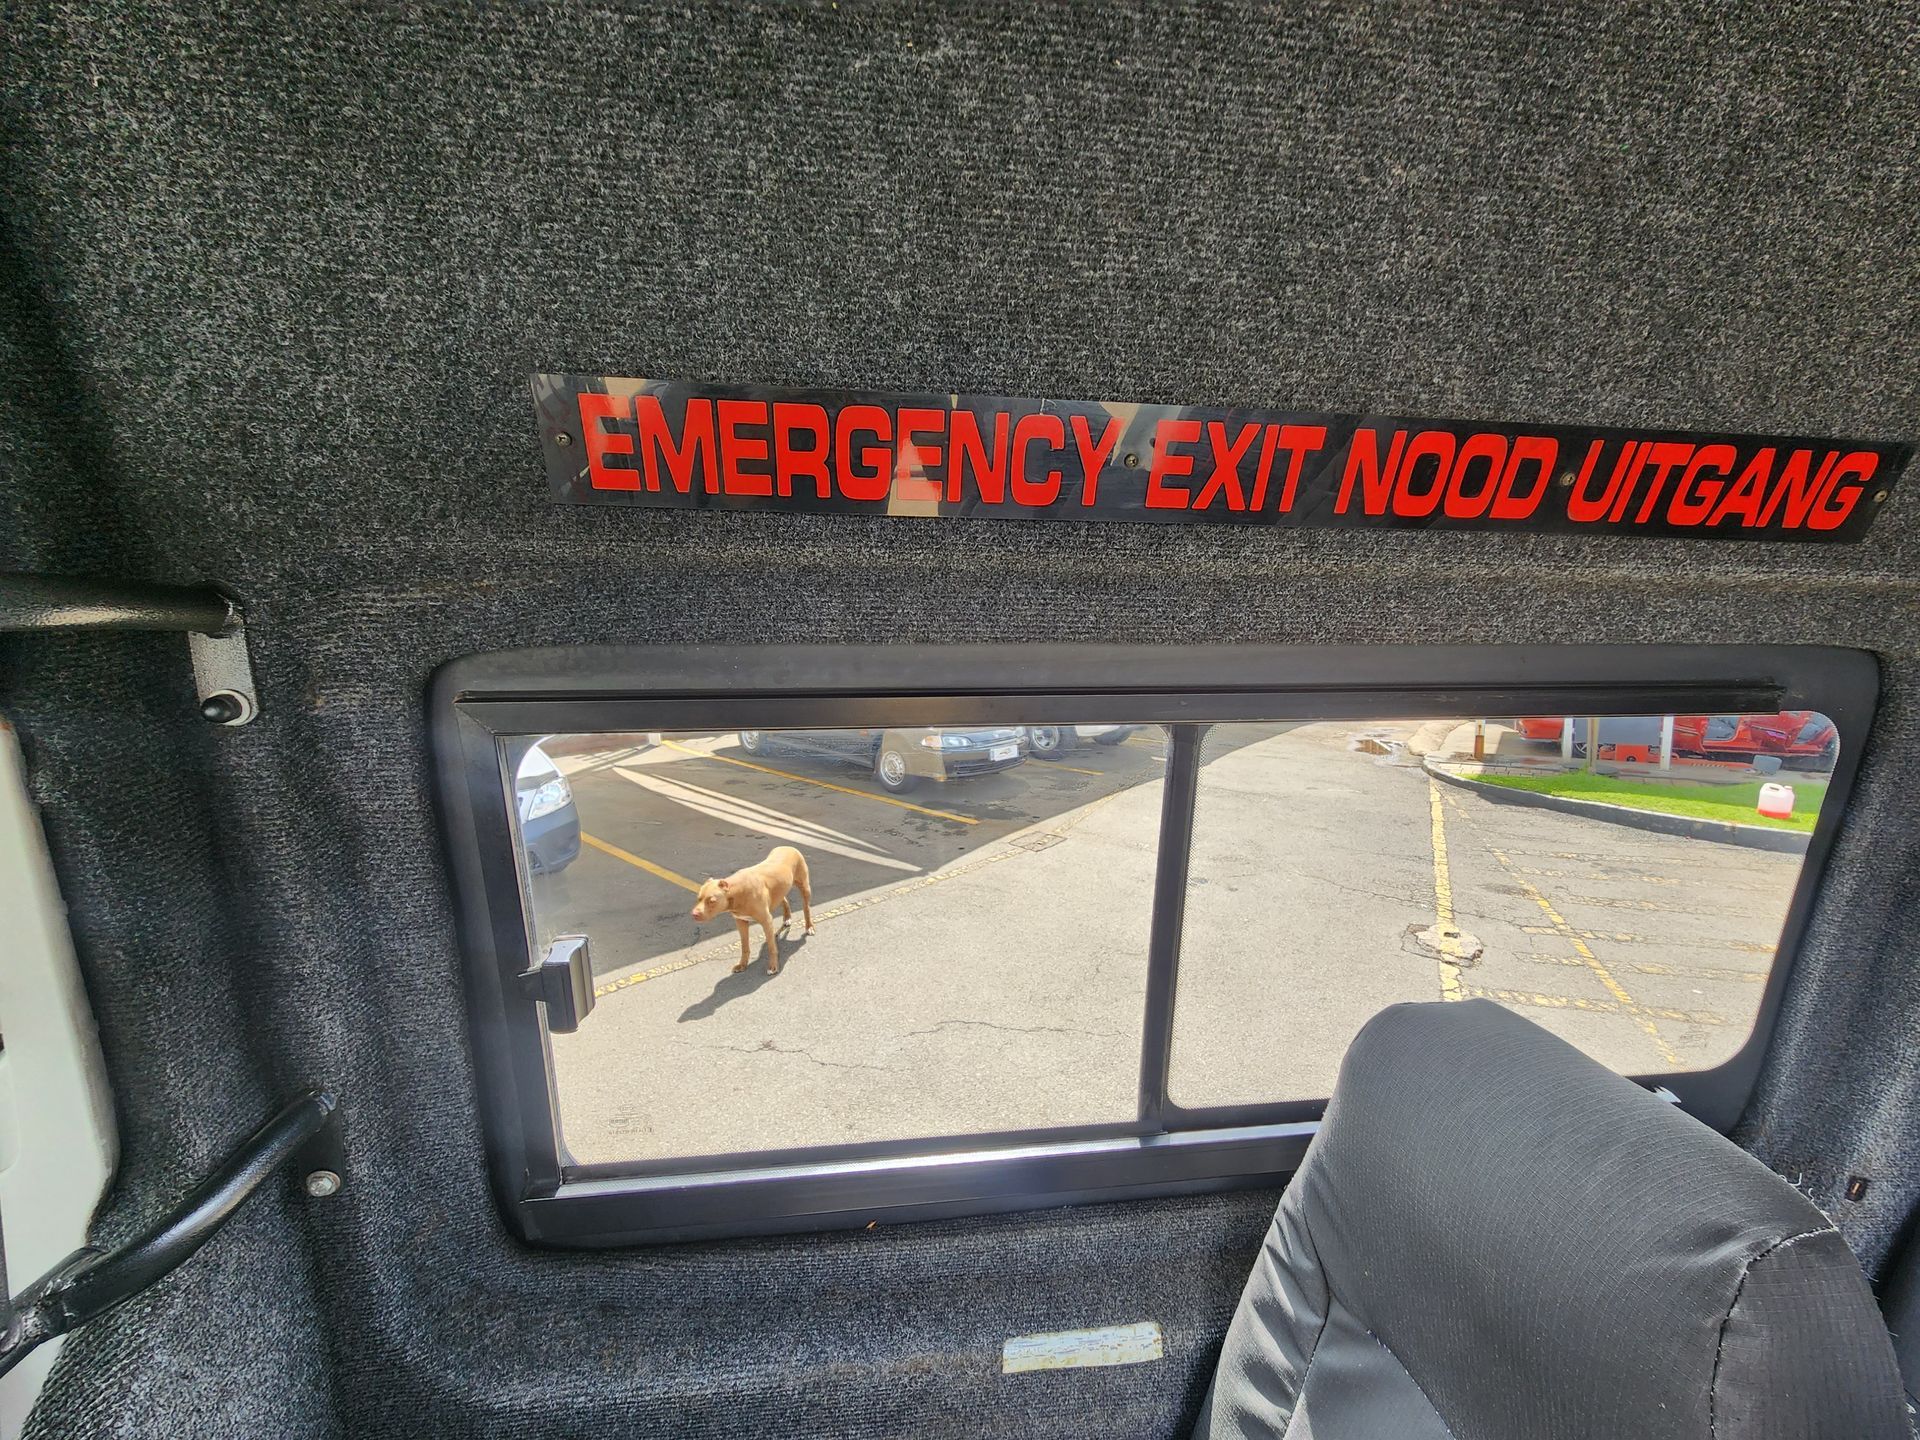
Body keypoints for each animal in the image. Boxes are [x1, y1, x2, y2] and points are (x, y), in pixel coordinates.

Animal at [690, 844, 814, 974]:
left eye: (712, 901)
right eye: (698, 898)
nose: (694, 914)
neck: (737, 892)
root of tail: (788, 846)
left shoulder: (766, 921)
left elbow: (771, 946)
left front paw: (773, 966)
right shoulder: (741, 922)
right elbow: (744, 946)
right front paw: (742, 964)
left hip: (804, 887)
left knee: (806, 908)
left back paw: (809, 927)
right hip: (780, 889)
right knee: (784, 899)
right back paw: (787, 918)